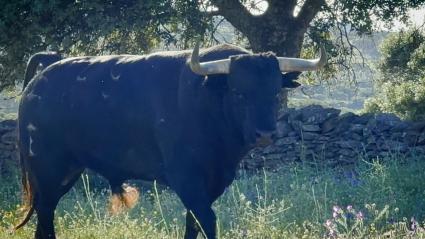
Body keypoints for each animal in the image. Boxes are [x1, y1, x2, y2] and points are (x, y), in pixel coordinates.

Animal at [14, 44, 322, 238]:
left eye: (275, 91)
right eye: (238, 93)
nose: (265, 134)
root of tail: (46, 71)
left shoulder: (213, 181)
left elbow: (193, 223)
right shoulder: (186, 178)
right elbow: (206, 221)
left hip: (65, 173)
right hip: (48, 170)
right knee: (45, 217)